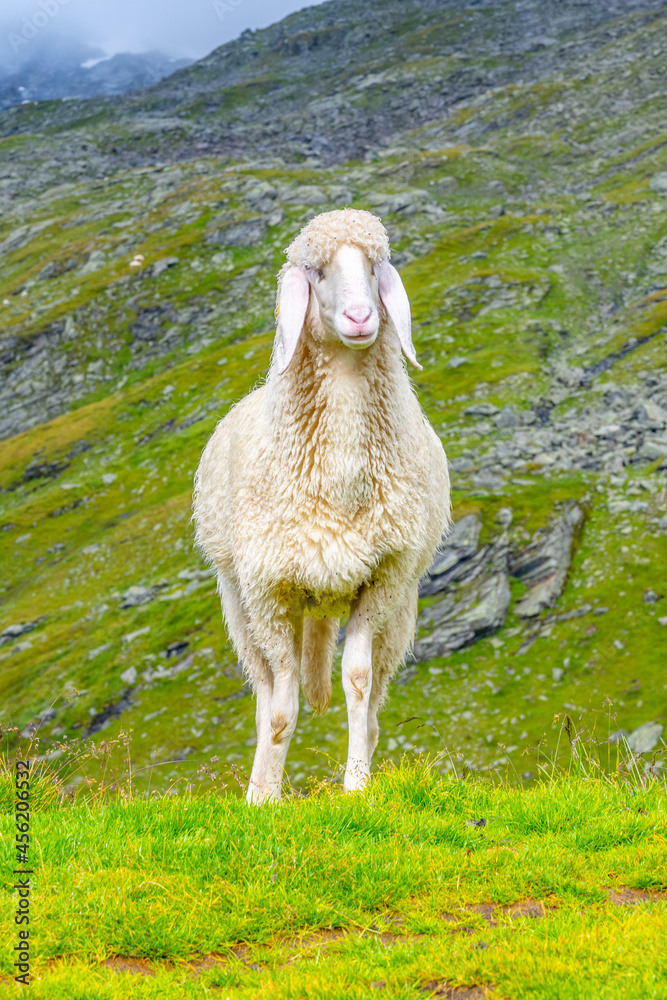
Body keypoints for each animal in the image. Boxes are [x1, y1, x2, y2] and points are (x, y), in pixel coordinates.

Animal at [193, 208, 450, 803]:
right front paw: (263, 799)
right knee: (265, 694)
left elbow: (356, 682)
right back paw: (257, 784)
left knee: (373, 703)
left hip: (399, 612)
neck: (341, 479)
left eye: (376, 264)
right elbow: (281, 709)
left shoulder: (384, 579)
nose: (359, 317)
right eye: (315, 269)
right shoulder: (268, 591)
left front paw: (356, 784)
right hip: (241, 605)